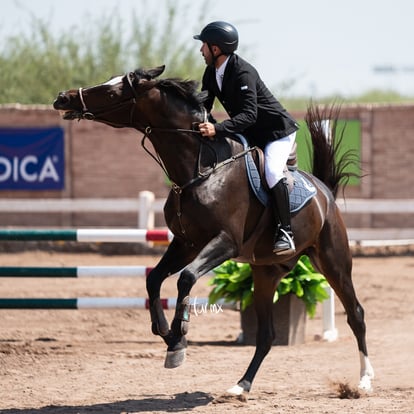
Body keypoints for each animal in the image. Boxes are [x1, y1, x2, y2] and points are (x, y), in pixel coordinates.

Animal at [53, 64, 374, 394]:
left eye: (113, 91)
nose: (63, 98)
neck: (201, 169)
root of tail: (325, 194)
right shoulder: (187, 244)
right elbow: (154, 279)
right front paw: (166, 333)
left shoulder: (225, 242)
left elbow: (186, 278)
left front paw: (178, 339)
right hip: (266, 272)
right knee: (267, 335)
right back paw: (241, 386)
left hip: (332, 261)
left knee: (356, 315)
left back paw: (364, 381)